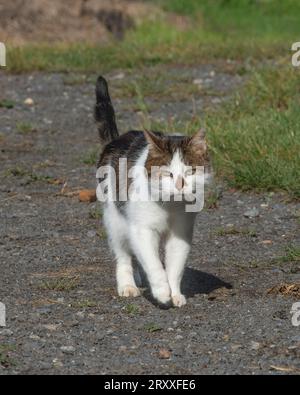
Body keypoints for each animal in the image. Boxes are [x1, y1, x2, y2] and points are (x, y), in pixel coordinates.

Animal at [94, 76, 211, 308]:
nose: (179, 185)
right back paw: (128, 285)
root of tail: (116, 140)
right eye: (166, 173)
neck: (170, 206)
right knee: (123, 256)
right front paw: (162, 291)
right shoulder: (141, 229)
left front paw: (175, 293)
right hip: (116, 219)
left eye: (190, 171)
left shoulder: (181, 233)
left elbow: (174, 267)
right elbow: (154, 265)